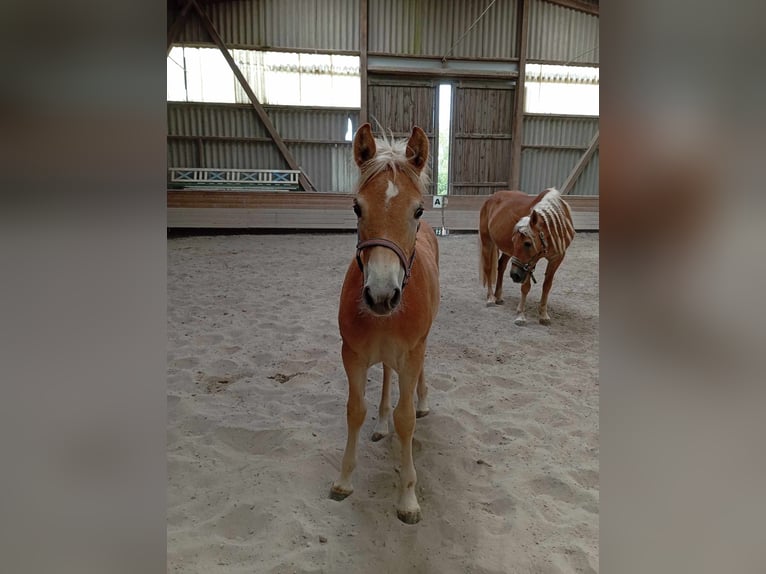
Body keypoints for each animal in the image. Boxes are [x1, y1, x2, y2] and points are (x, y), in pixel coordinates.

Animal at [328, 125, 440, 528]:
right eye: (357, 207)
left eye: (418, 209)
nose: (381, 295)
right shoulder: (352, 355)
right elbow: (355, 410)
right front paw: (344, 479)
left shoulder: (411, 353)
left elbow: (406, 422)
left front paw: (408, 498)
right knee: (387, 375)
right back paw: (380, 422)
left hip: (422, 345)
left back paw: (422, 403)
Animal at [480, 188, 576, 326]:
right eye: (514, 240)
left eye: (527, 243)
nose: (515, 275)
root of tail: (491, 197)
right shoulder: (529, 264)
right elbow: (525, 287)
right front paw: (521, 316)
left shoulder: (556, 258)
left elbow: (547, 286)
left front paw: (544, 315)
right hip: (487, 241)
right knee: (488, 269)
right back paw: (491, 298)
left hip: (508, 253)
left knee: (501, 266)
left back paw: (498, 296)